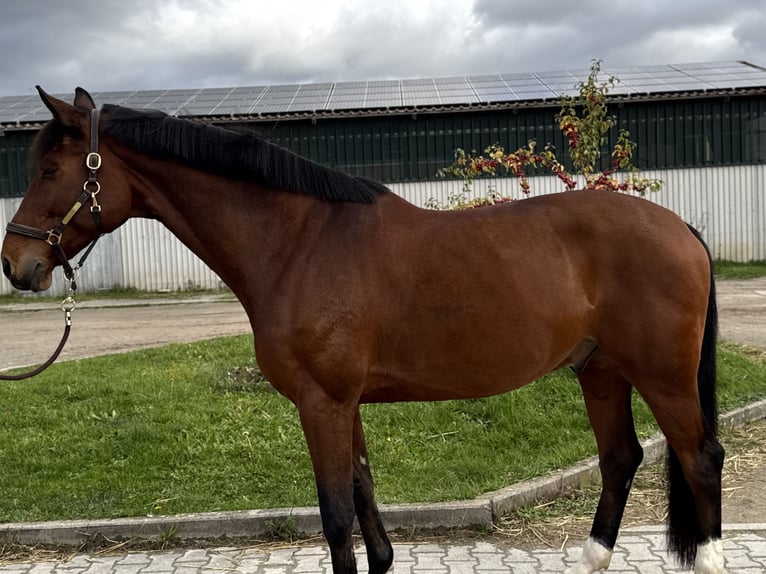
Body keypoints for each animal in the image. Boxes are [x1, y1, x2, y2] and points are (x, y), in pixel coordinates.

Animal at [1, 88, 725, 574]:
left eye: (50, 170)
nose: (17, 264)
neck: (298, 243)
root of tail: (682, 228)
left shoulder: (321, 402)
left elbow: (336, 515)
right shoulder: (344, 403)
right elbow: (364, 495)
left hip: (662, 375)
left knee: (698, 459)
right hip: (600, 369)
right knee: (621, 458)